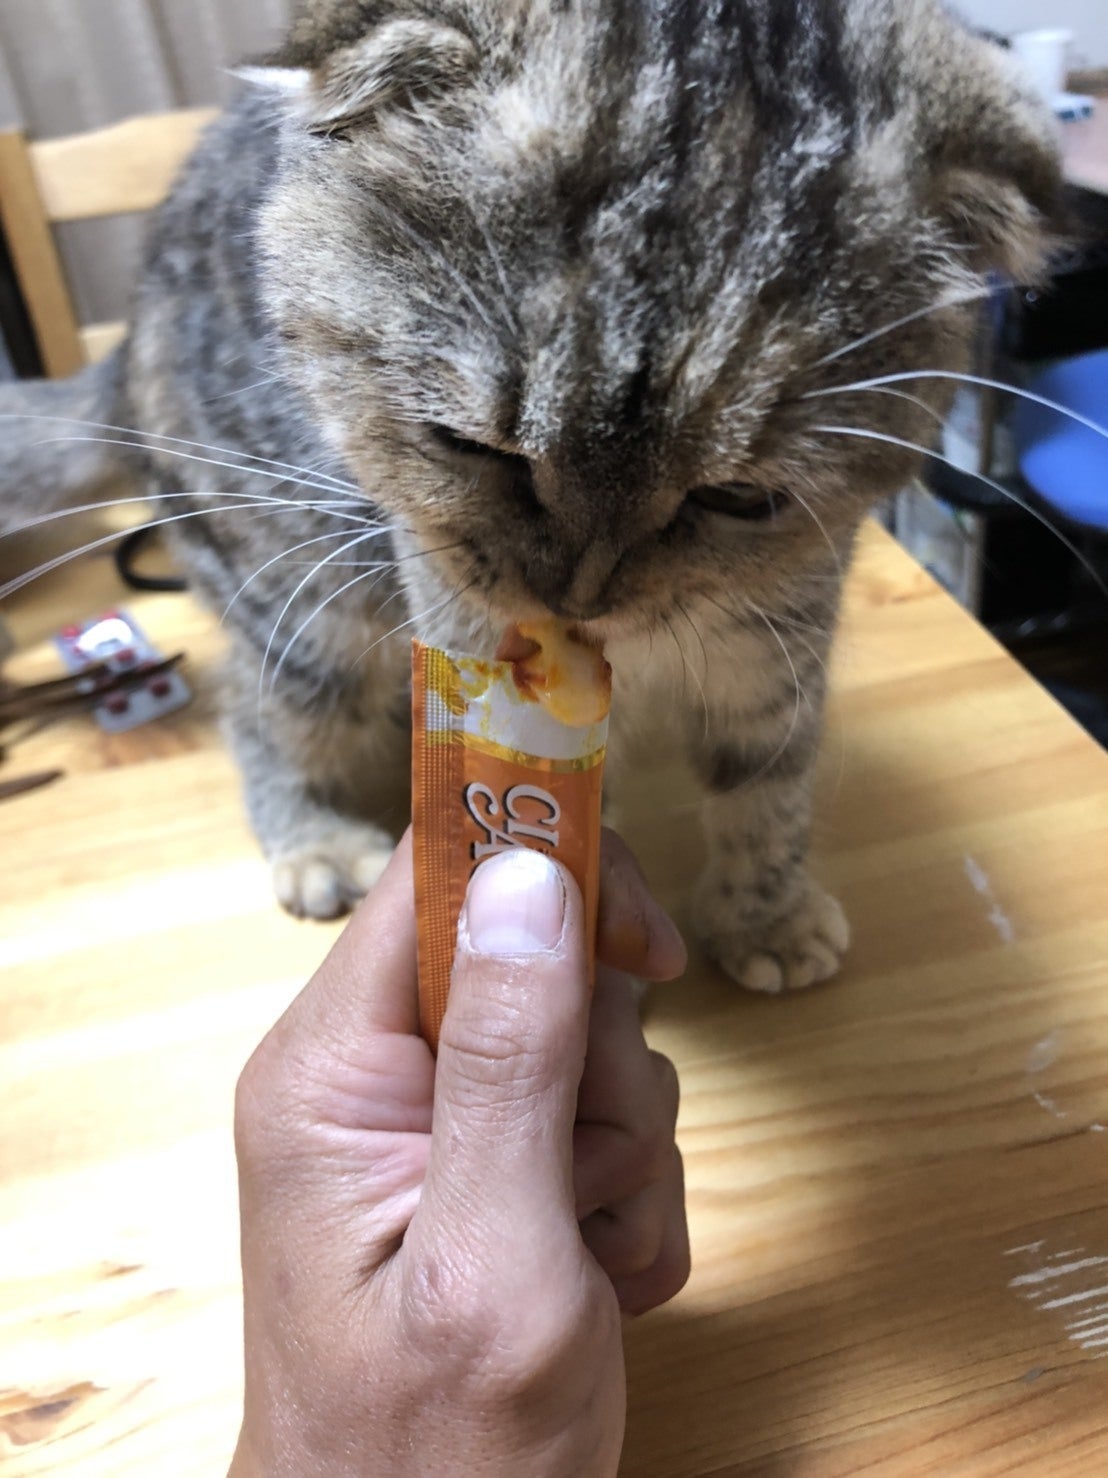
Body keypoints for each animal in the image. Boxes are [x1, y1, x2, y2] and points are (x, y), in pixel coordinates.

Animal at [0, 0, 1059, 992]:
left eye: (738, 498)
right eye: (470, 446)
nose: (576, 599)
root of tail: (121, 347)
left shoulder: (781, 634)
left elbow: (769, 781)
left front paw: (765, 915)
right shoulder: (453, 615)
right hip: (301, 602)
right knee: (258, 713)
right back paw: (314, 839)